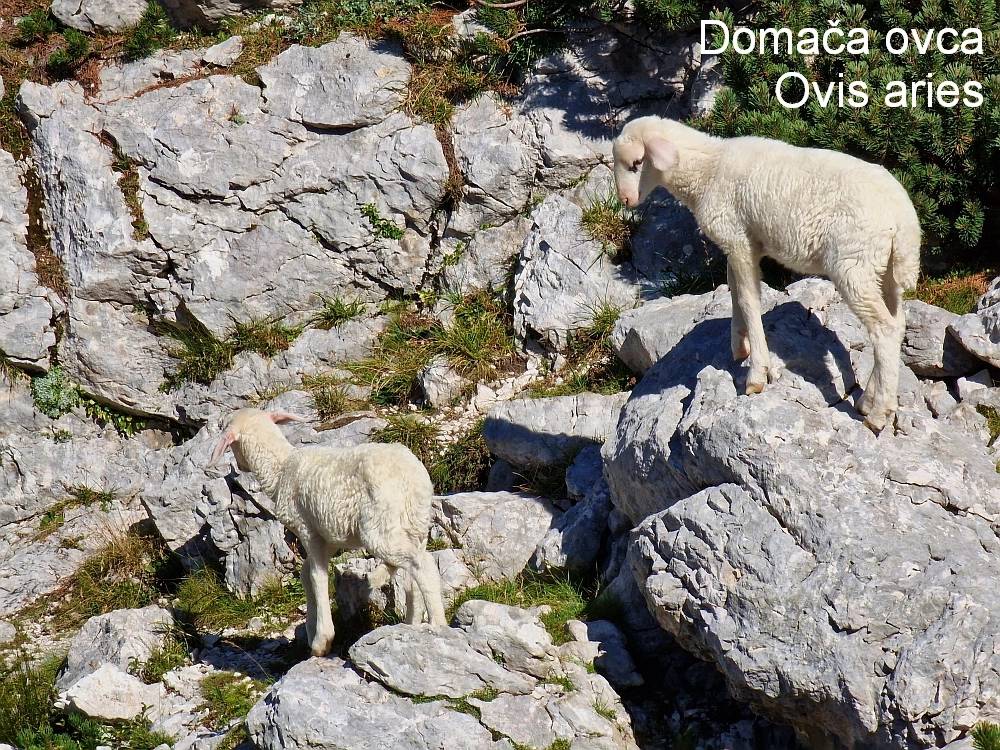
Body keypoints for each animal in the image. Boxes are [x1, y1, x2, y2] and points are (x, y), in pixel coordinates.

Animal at [207, 412, 446, 656]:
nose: (240, 466)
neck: (282, 468)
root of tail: (413, 481)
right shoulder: (328, 536)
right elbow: (306, 573)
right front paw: (311, 626)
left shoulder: (306, 528)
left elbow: (317, 576)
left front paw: (321, 640)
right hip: (416, 524)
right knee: (413, 572)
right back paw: (410, 622)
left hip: (380, 526)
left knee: (421, 563)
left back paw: (437, 622)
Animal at [612, 118, 924, 434]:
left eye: (637, 163)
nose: (625, 199)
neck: (708, 169)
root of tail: (905, 220)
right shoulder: (739, 242)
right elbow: (734, 291)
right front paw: (739, 344)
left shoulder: (737, 238)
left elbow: (749, 300)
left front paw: (756, 374)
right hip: (884, 270)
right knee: (897, 323)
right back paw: (868, 399)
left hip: (853, 262)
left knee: (884, 329)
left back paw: (879, 414)